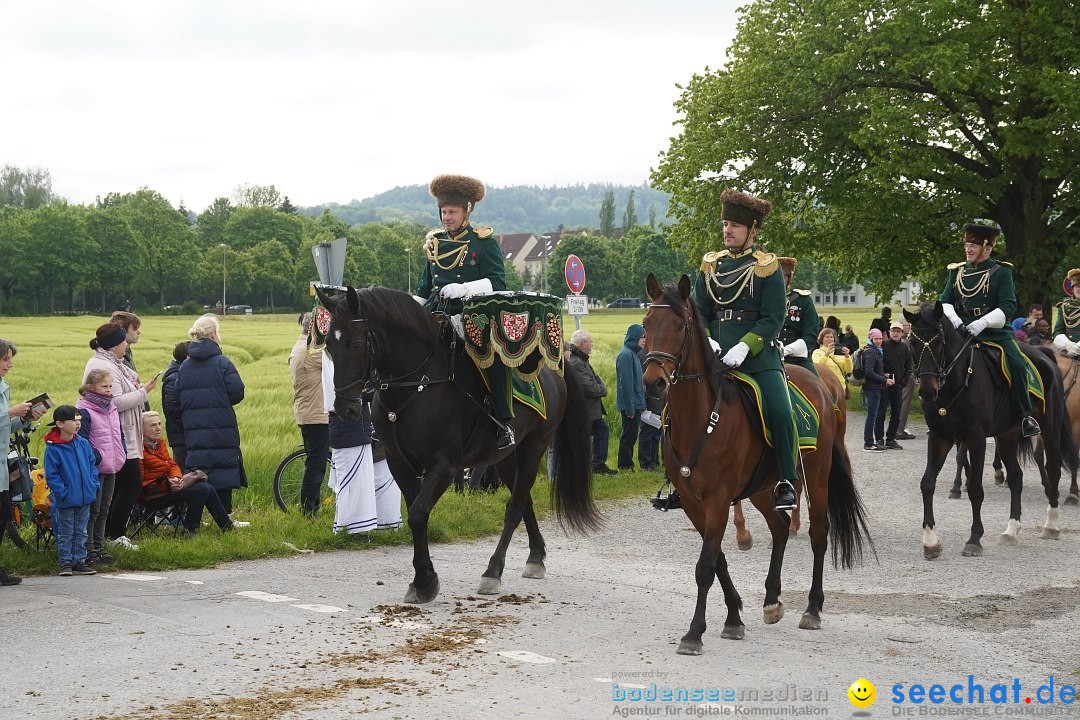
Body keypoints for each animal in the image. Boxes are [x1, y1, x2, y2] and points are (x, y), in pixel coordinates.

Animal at [315, 284, 604, 604]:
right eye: (328, 346)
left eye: (355, 343)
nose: (345, 409)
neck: (417, 382)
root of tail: (554, 369)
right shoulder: (399, 462)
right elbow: (417, 513)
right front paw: (423, 579)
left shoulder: (444, 464)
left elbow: (418, 513)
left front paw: (424, 581)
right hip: (505, 457)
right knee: (524, 501)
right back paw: (536, 557)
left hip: (534, 447)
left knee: (515, 506)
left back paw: (493, 572)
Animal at [639, 273, 868, 656]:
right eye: (646, 323)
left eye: (680, 325)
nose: (653, 382)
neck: (700, 418)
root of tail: (822, 386)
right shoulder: (693, 503)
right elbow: (717, 559)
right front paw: (733, 617)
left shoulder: (717, 499)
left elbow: (705, 565)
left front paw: (694, 633)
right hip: (764, 488)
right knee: (780, 527)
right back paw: (772, 599)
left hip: (816, 476)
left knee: (818, 534)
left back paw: (812, 608)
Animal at [902, 302, 1071, 557]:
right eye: (912, 342)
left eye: (939, 342)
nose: (927, 391)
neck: (956, 381)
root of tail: (1046, 354)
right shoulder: (940, 438)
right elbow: (927, 483)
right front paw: (930, 540)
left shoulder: (976, 439)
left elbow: (975, 488)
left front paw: (974, 538)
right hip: (1006, 435)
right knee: (1016, 477)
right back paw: (1011, 530)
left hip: (1050, 430)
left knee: (1053, 470)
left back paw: (1051, 525)